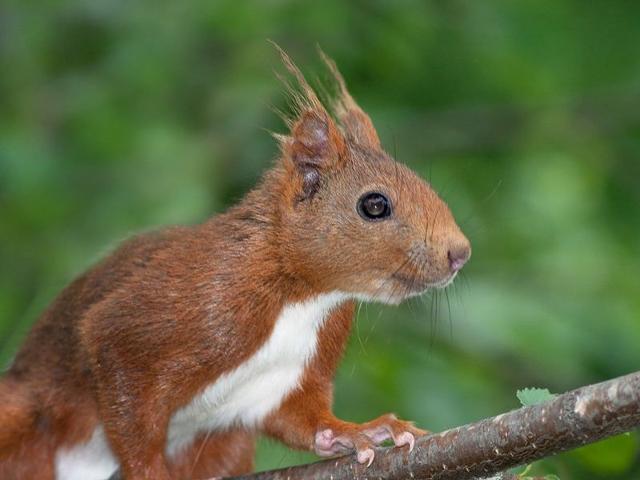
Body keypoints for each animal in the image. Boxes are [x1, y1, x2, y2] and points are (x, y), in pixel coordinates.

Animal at [0, 49, 470, 480]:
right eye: (374, 205)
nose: (460, 252)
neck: (305, 295)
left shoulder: (289, 375)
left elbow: (303, 418)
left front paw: (360, 432)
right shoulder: (190, 299)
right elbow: (121, 376)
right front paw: (149, 471)